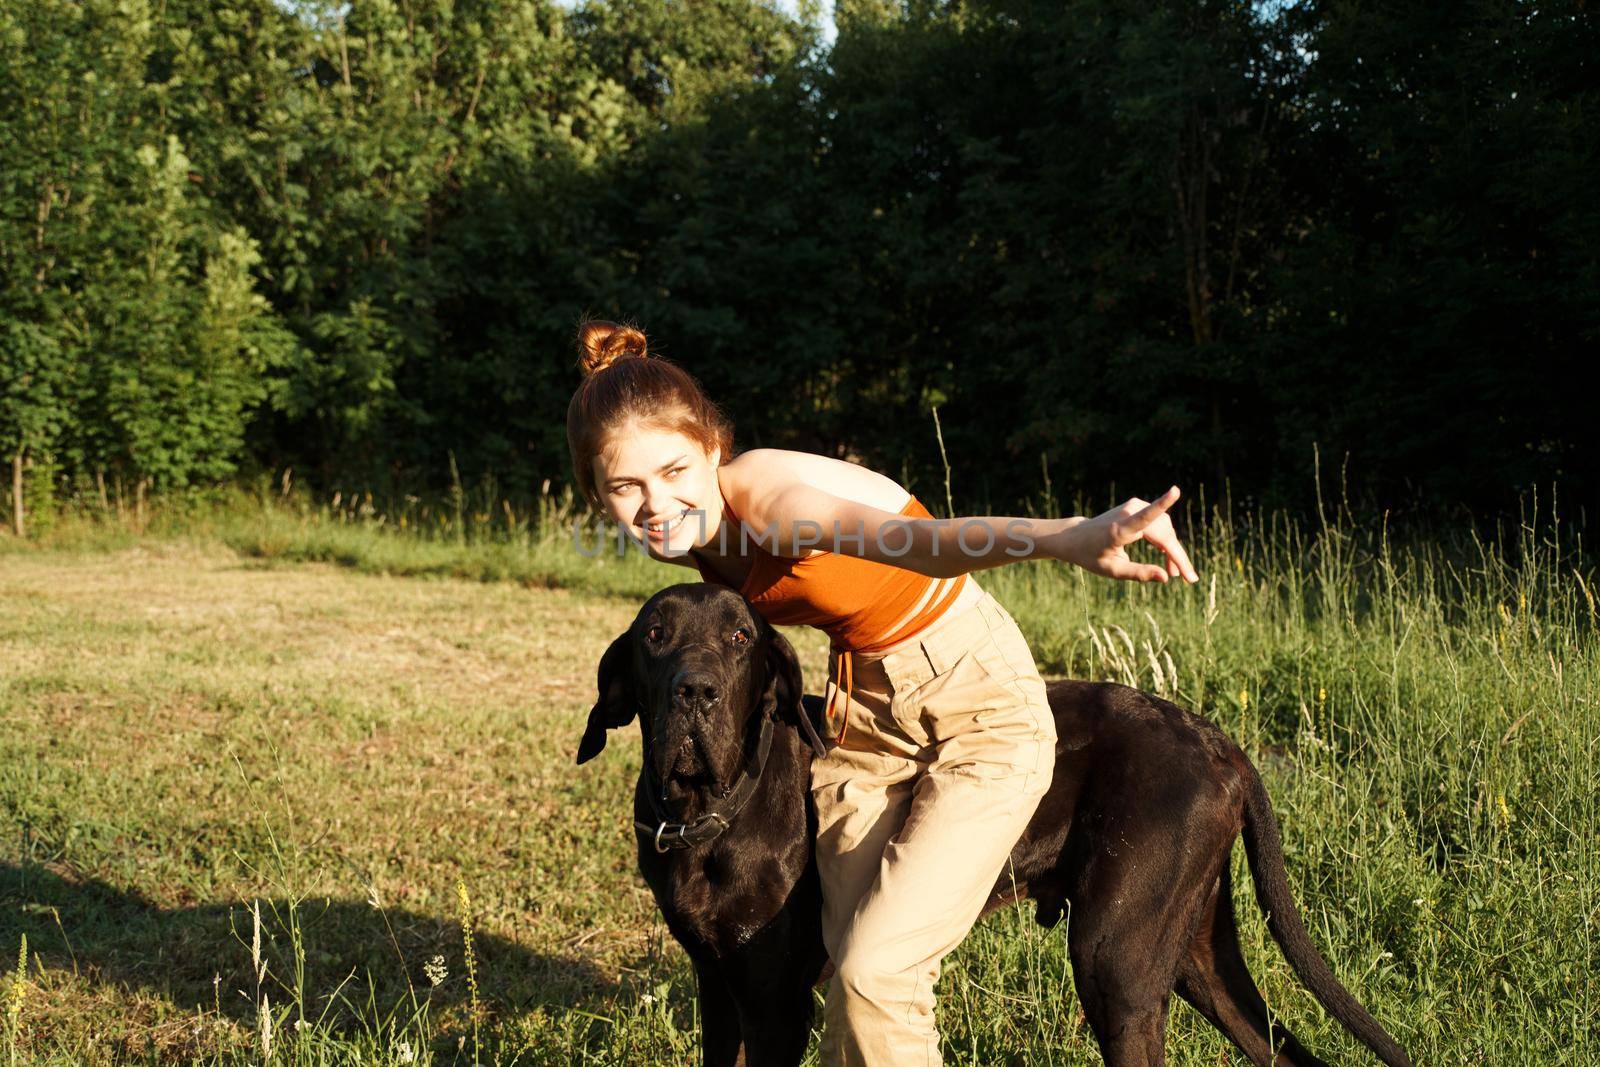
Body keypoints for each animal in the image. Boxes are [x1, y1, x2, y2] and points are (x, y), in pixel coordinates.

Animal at [579, 585, 1414, 1067]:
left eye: (741, 639)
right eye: (653, 635)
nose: (695, 691)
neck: (708, 816)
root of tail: (1221, 742)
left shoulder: (776, 1002)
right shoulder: (719, 991)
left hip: (1116, 960)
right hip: (1193, 952)